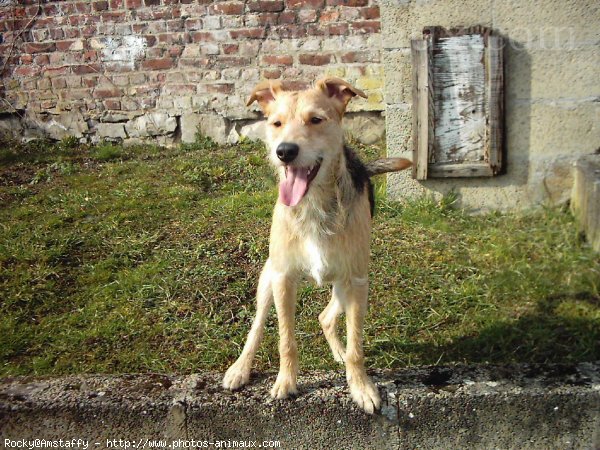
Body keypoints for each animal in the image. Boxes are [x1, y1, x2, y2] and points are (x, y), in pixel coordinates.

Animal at [221, 75, 412, 414]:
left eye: (316, 120)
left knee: (326, 317)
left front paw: (360, 387)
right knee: (257, 325)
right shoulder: (283, 278)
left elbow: (356, 346)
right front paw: (286, 382)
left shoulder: (357, 280)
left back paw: (339, 354)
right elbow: (286, 341)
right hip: (268, 277)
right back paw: (240, 369)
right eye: (276, 123)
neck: (313, 206)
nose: (285, 151)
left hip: (347, 284)